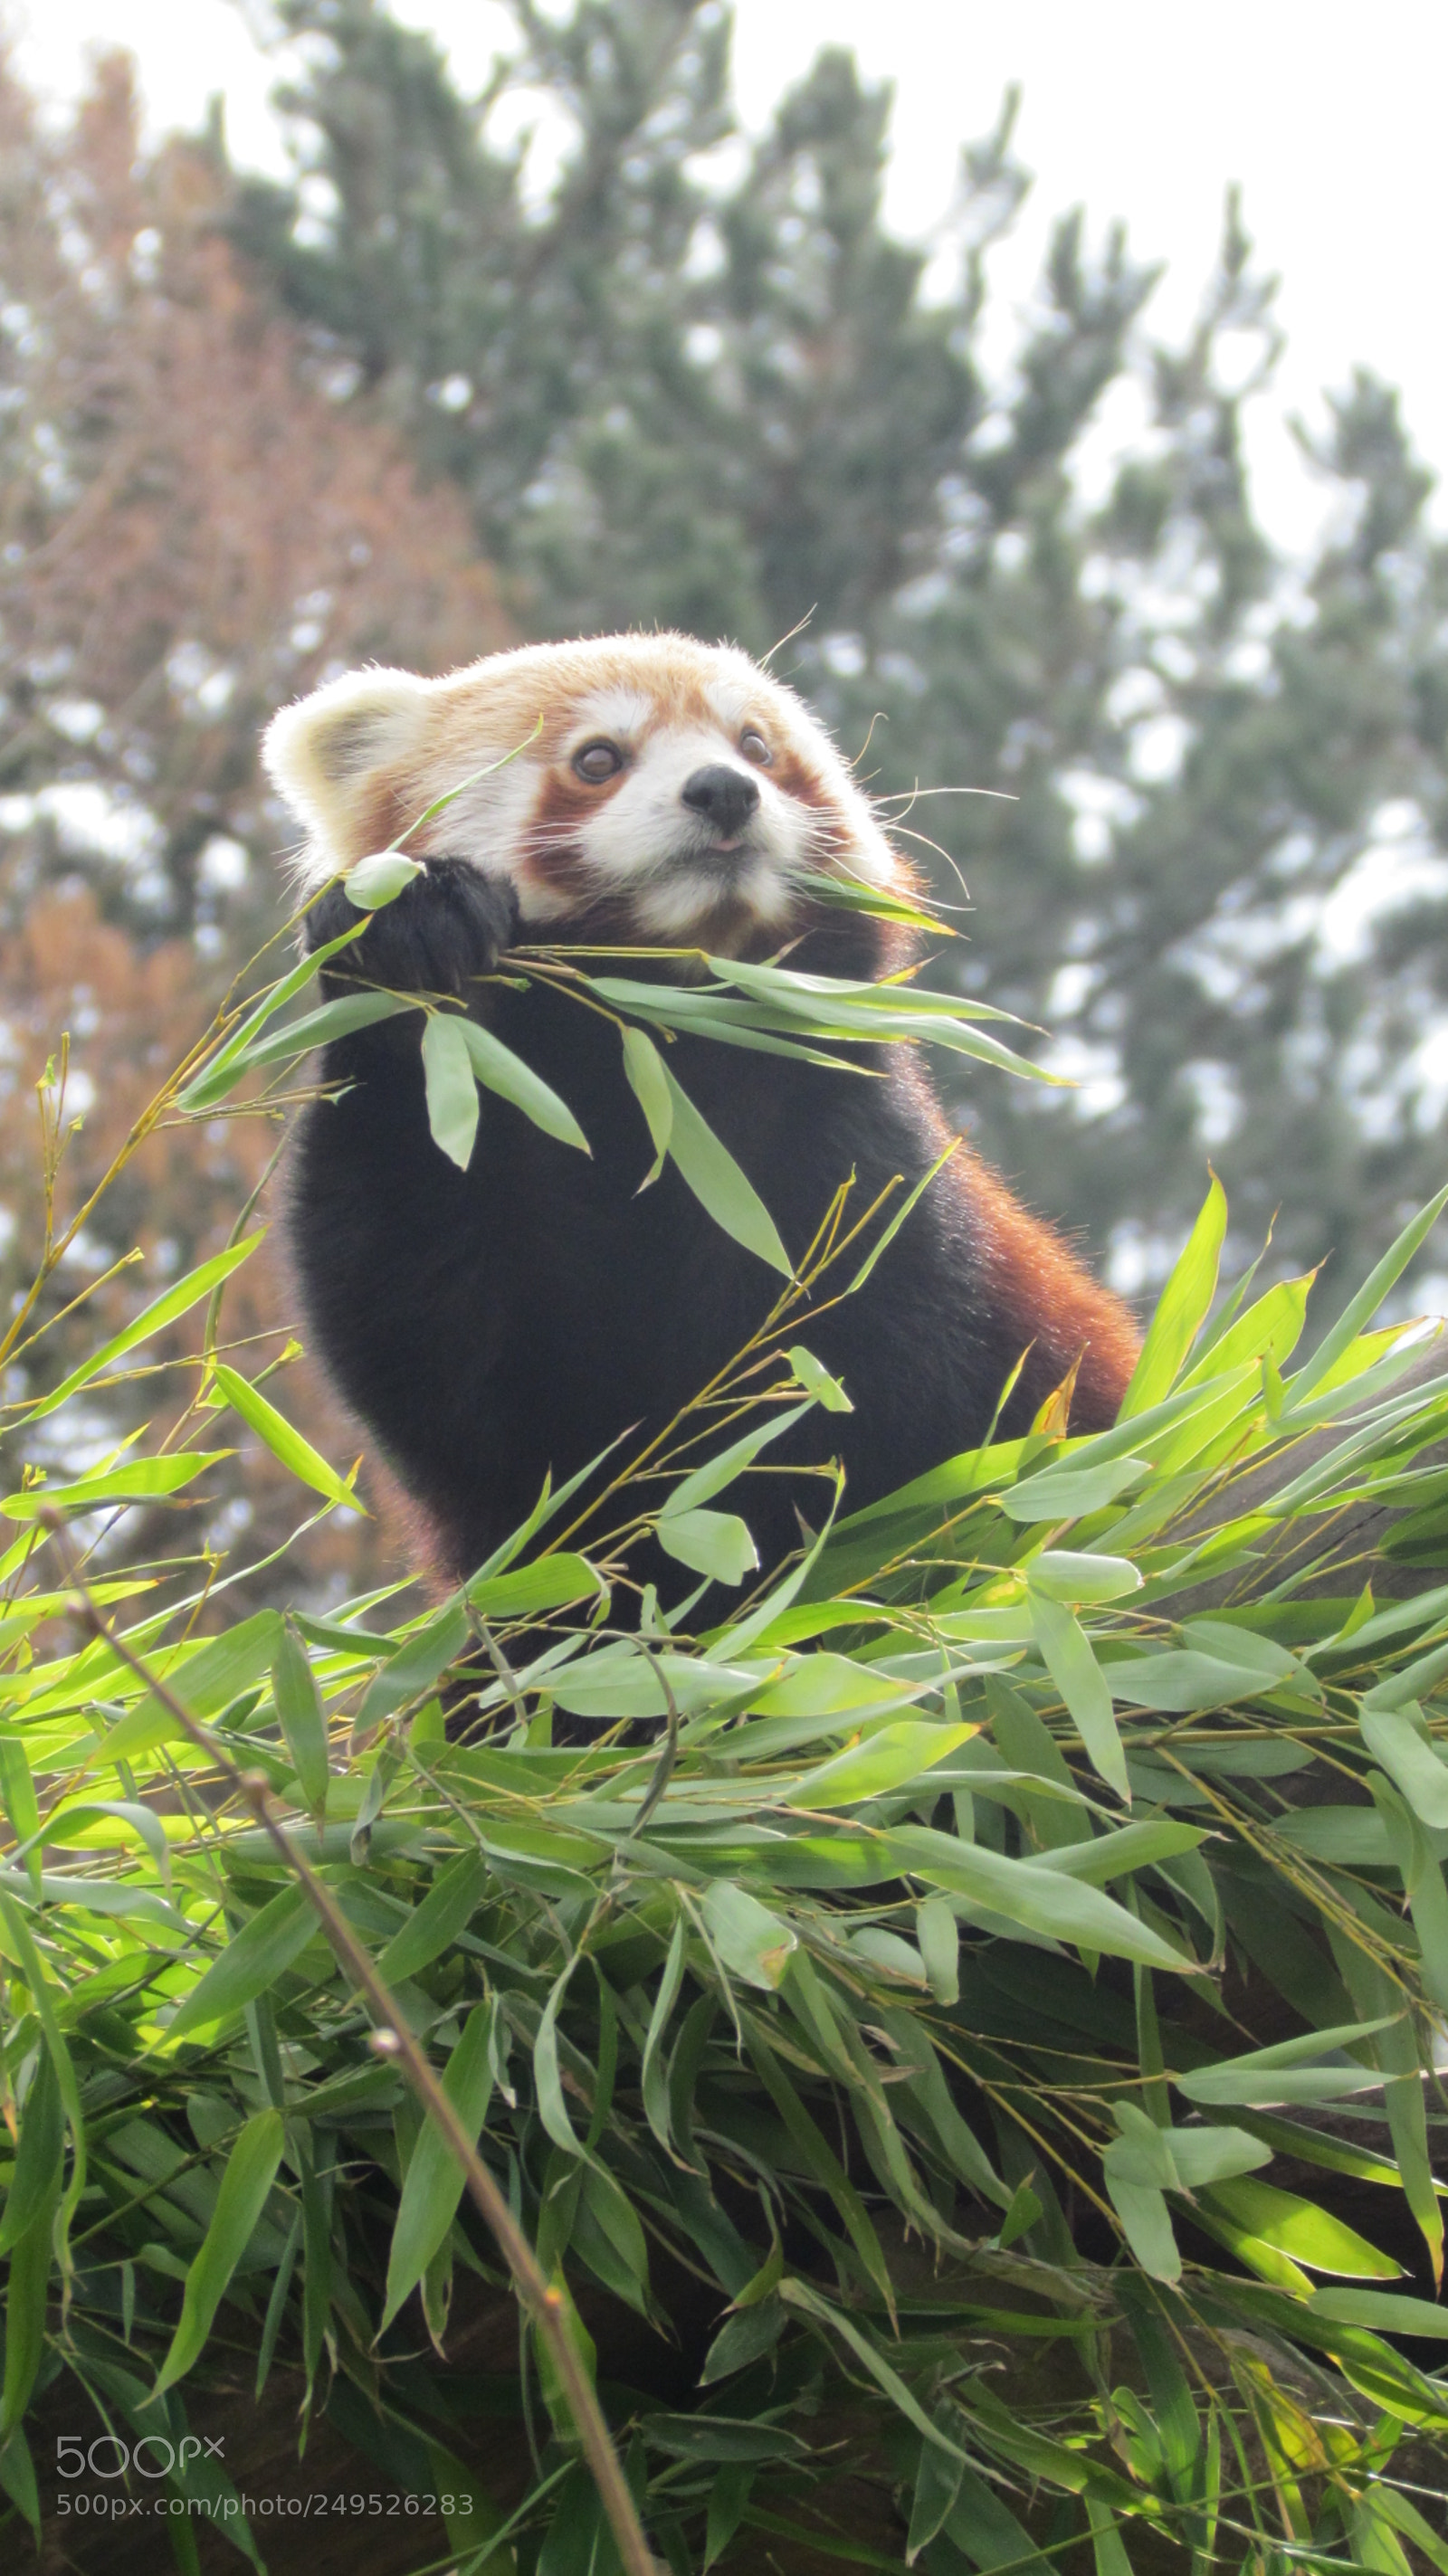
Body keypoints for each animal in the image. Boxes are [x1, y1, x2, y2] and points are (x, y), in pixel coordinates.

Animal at [262, 632, 1139, 1590]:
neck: (656, 1084)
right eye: (597, 759)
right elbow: (441, 1366)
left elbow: (883, 1396)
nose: (724, 788)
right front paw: (410, 925)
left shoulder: (839, 1146)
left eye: (755, 744)